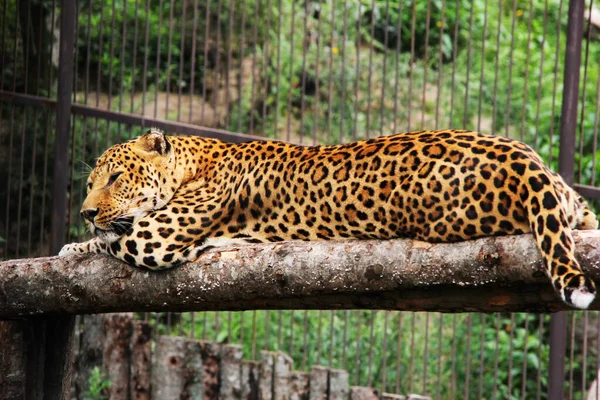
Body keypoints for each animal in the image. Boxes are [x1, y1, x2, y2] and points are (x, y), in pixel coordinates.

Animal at [58, 128, 596, 310]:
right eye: (89, 182)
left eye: (114, 178)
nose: (85, 211)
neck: (195, 161)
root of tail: (522, 155)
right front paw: (75, 242)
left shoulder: (155, 237)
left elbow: (114, 236)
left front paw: (76, 242)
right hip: (574, 206)